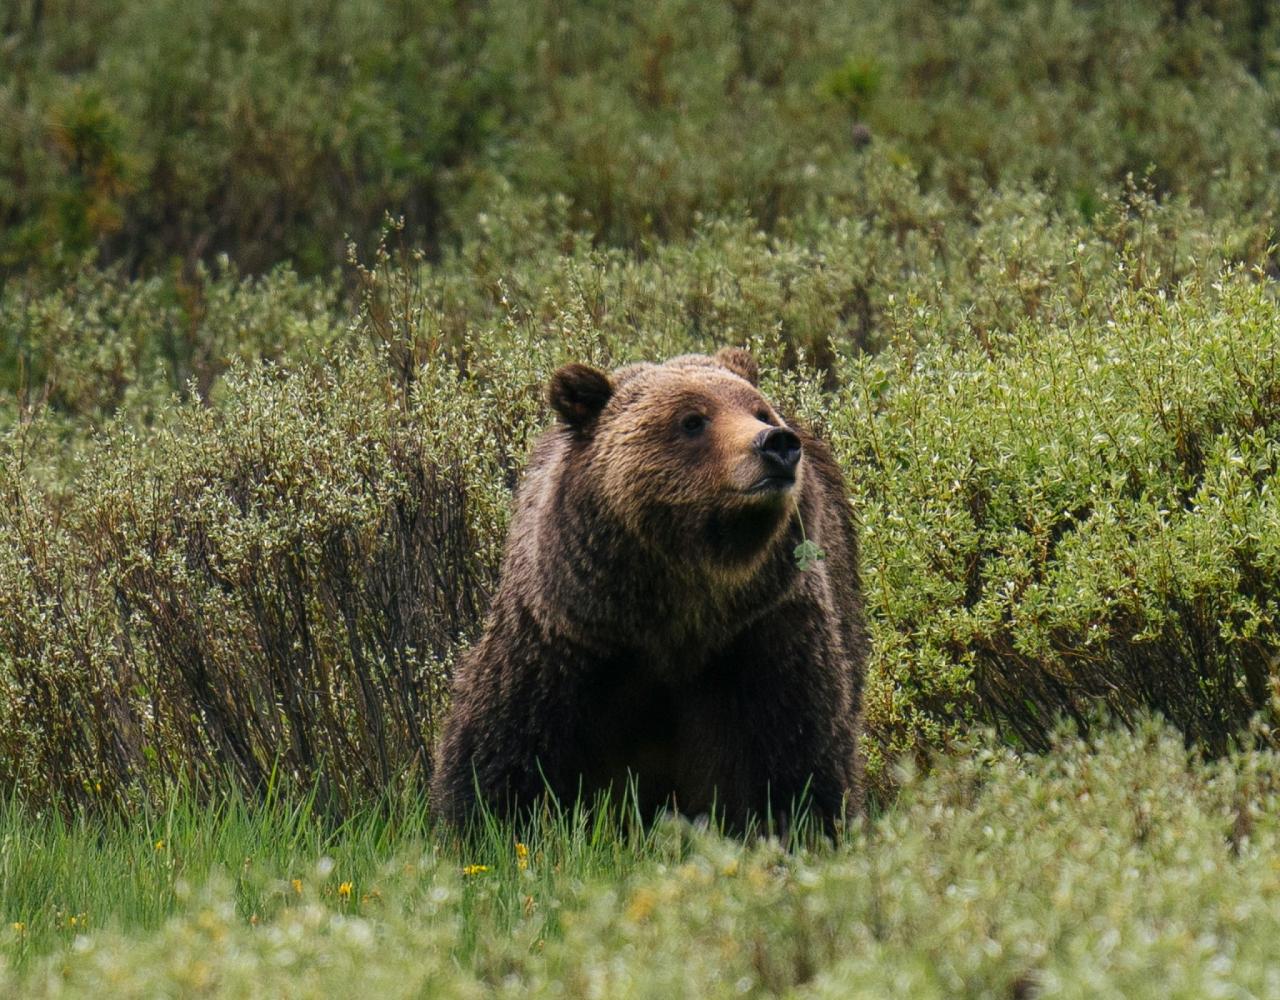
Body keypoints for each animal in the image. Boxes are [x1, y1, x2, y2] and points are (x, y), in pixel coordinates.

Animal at [432, 348, 870, 829]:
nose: (777, 443)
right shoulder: (565, 642)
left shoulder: (764, 638)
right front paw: (487, 818)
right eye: (693, 420)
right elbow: (505, 746)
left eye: (758, 411)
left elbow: (794, 754)